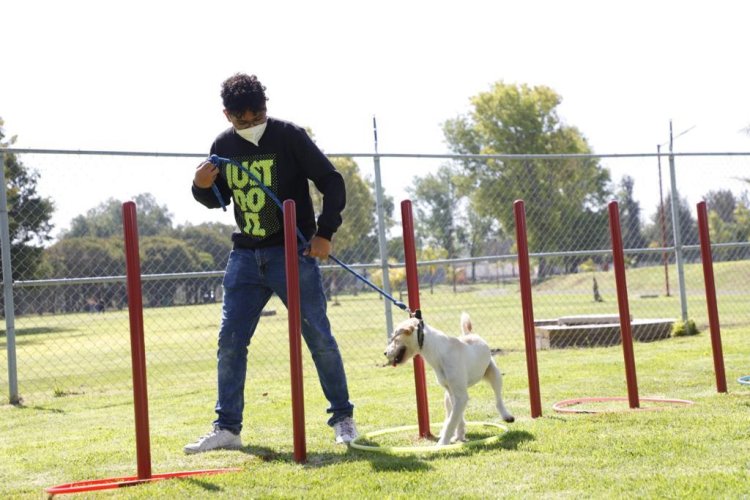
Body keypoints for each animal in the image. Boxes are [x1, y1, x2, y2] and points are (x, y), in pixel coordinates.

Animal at [384, 312, 516, 446]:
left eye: (394, 338)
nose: (384, 353)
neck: (437, 352)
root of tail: (469, 334)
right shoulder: (454, 394)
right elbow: (455, 418)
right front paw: (457, 436)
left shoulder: (461, 396)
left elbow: (452, 421)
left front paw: (442, 444)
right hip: (447, 396)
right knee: (449, 413)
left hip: (495, 375)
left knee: (498, 399)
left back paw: (506, 415)